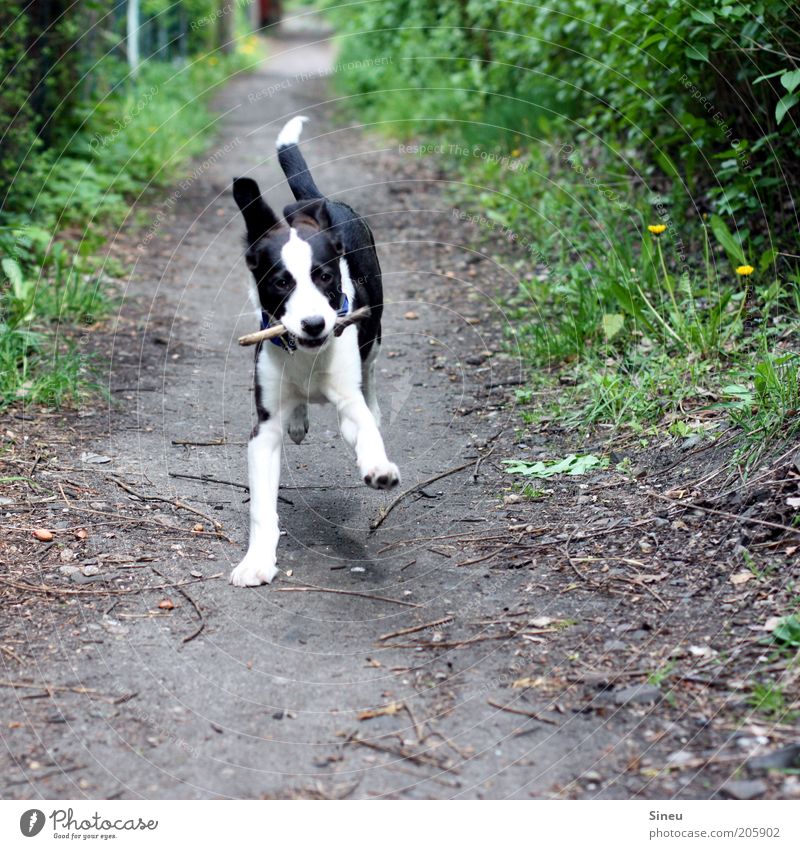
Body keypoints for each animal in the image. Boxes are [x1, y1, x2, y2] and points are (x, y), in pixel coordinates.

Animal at [230, 116, 398, 588]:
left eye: (324, 277)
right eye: (281, 282)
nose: (313, 325)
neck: (306, 355)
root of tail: (317, 201)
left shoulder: (348, 392)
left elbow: (363, 425)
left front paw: (378, 465)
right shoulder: (263, 429)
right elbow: (261, 507)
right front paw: (256, 561)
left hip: (375, 330)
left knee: (370, 375)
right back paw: (300, 419)